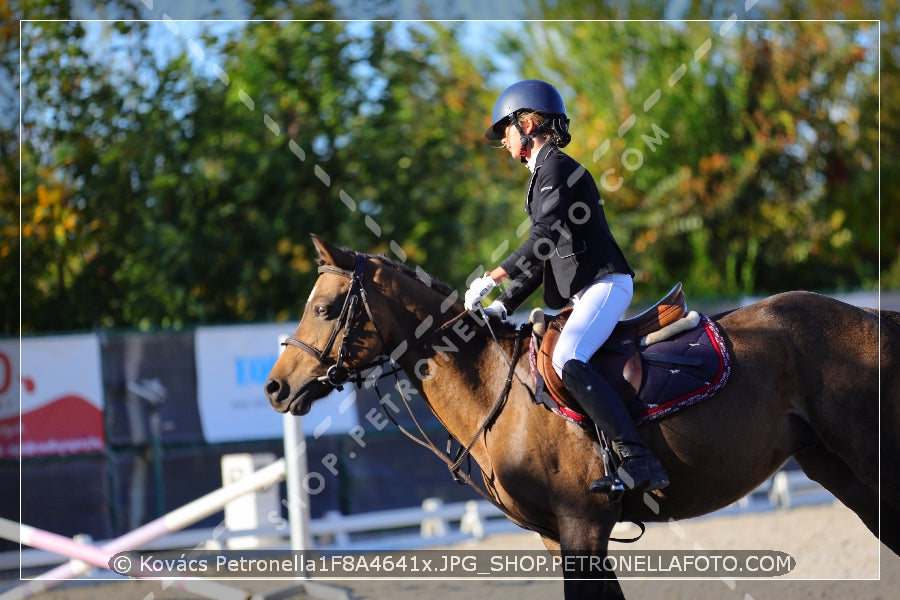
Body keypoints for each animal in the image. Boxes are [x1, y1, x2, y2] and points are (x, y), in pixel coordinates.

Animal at [266, 236, 900, 600]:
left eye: (326, 309)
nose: (276, 388)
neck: (494, 386)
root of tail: (874, 316)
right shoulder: (555, 536)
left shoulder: (582, 527)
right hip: (836, 468)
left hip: (871, 457)